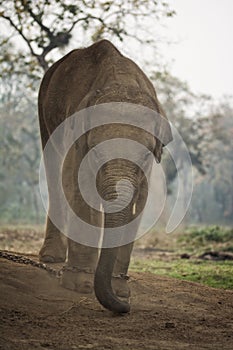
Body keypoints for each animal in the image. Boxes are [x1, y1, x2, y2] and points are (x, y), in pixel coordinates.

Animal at [38, 39, 172, 314]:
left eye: (145, 157)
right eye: (97, 153)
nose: (126, 307)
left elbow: (139, 202)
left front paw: (121, 290)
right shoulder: (76, 134)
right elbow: (76, 187)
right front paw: (79, 285)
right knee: (54, 171)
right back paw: (51, 258)